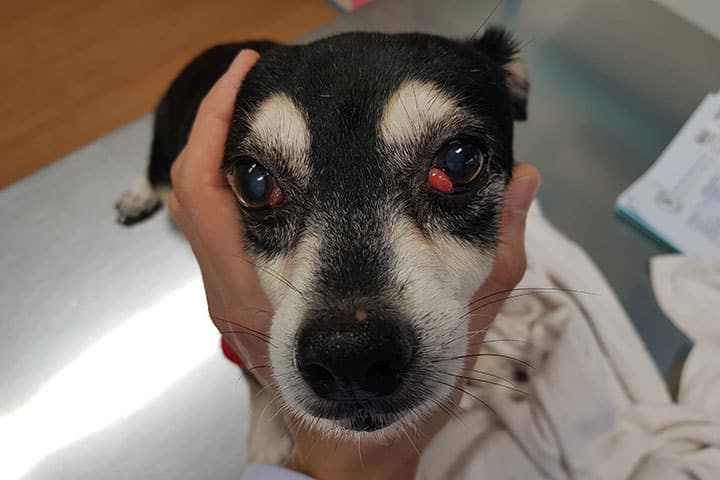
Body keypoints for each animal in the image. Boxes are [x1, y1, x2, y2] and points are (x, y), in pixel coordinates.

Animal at [114, 28, 528, 464]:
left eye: (459, 161)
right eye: (252, 183)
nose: (349, 355)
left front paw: (489, 361)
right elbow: (254, 376)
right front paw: (266, 435)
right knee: (153, 170)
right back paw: (137, 195)